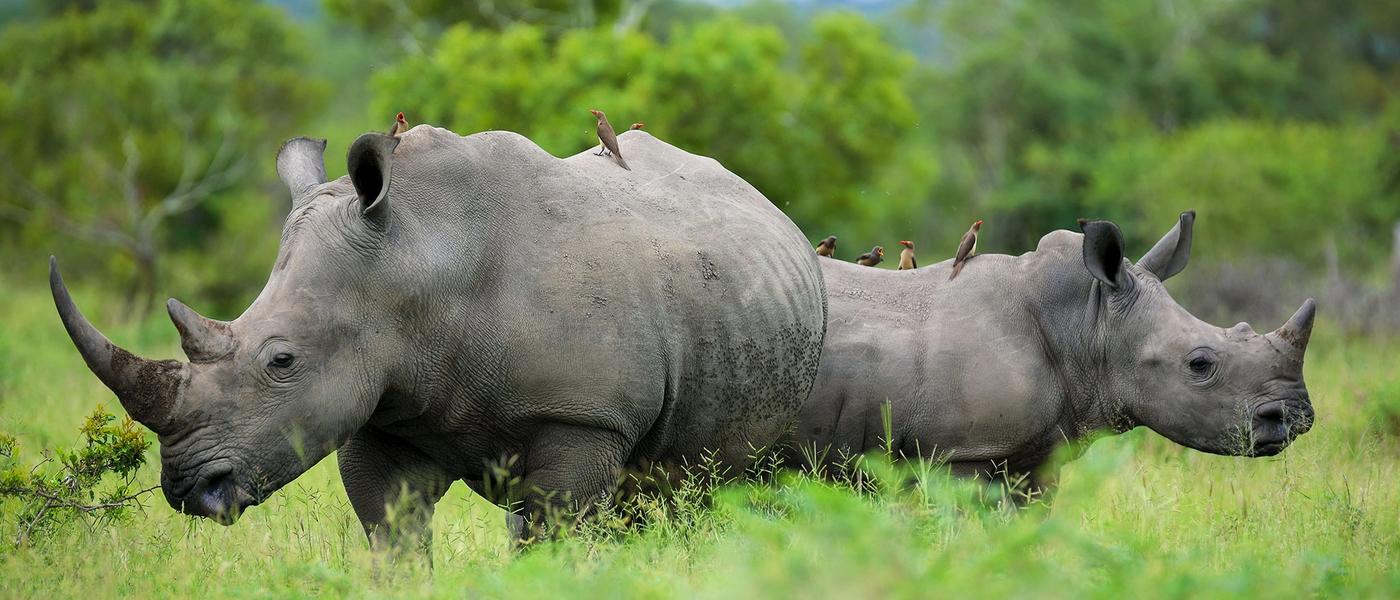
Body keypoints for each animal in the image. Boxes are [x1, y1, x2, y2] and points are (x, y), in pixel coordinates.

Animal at [50, 126, 827, 548]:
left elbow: (550, 533)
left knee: (707, 486)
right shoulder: (378, 406)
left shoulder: (584, 416)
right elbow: (393, 536)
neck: (418, 265)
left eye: (281, 360)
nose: (190, 491)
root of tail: (766, 204)